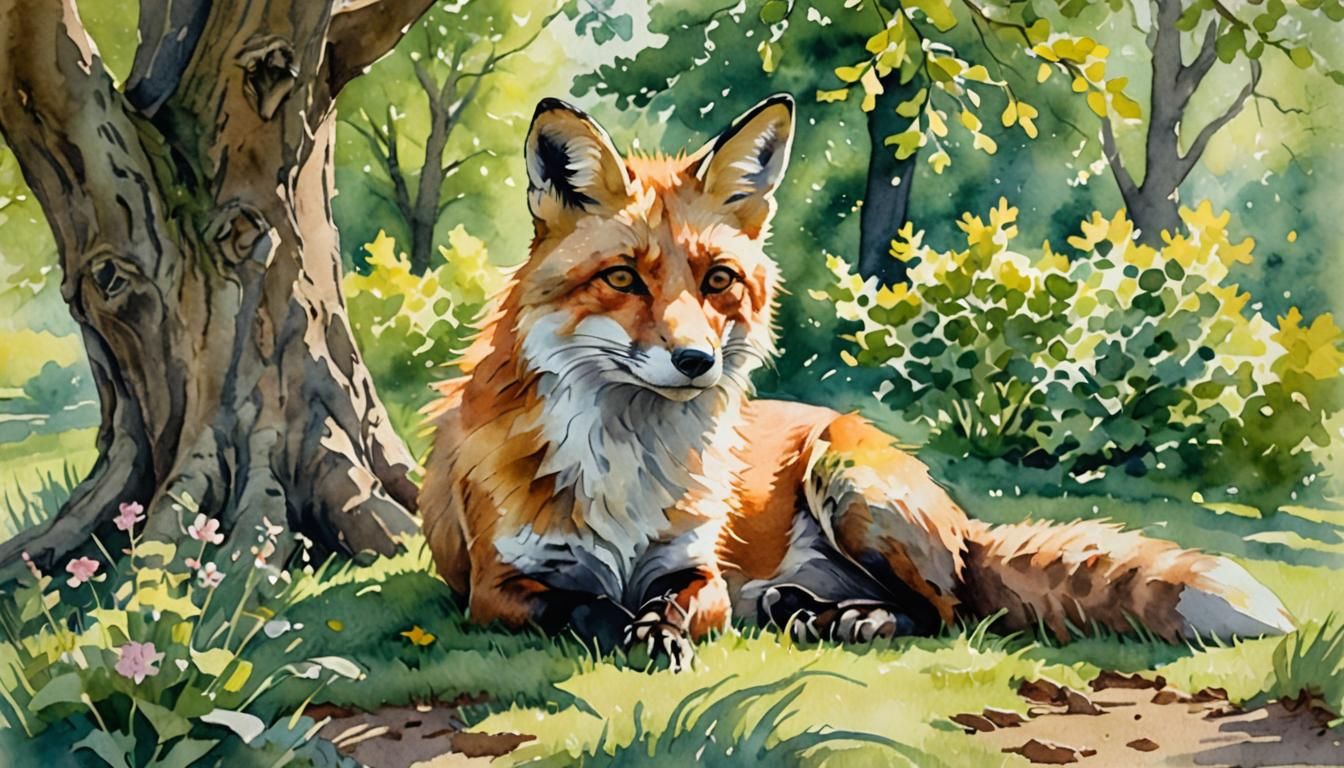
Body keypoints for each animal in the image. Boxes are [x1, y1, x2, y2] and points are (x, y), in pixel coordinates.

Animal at [418, 93, 1294, 668]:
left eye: (718, 281)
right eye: (623, 279)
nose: (696, 362)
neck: (626, 465)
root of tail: (960, 523)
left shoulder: (697, 573)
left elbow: (671, 602)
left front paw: (658, 632)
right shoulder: (495, 587)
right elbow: (584, 604)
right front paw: (630, 630)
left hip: (849, 485)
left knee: (948, 609)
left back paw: (853, 620)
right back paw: (804, 609)